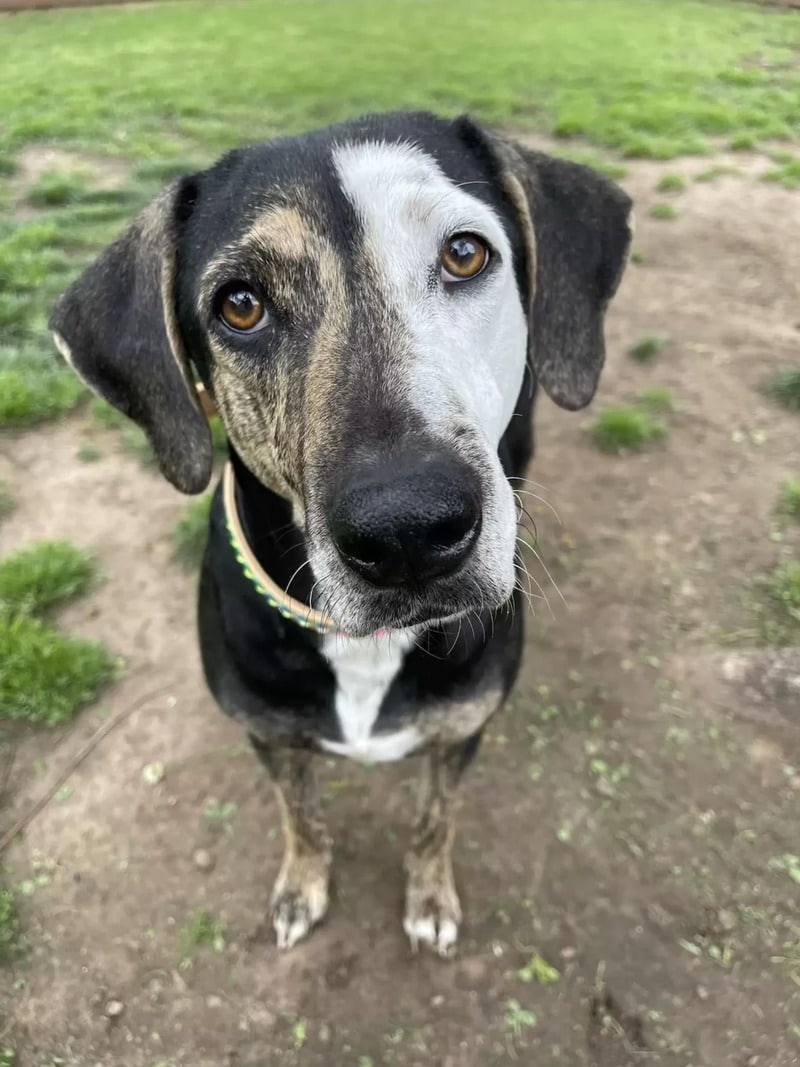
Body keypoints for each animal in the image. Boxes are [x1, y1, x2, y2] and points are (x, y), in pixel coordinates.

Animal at [51, 112, 631, 956]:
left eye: (465, 253)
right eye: (240, 303)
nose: (408, 530)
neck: (366, 648)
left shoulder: (462, 729)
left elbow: (434, 820)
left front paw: (430, 895)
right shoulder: (269, 734)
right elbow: (300, 812)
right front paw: (301, 885)